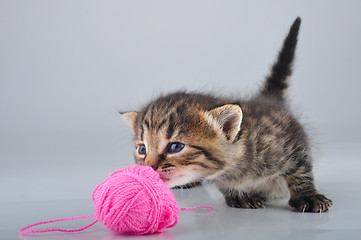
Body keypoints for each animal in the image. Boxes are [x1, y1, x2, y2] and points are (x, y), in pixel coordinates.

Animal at [120, 17, 332, 213]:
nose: (148, 167)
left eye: (176, 147)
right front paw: (240, 195)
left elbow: (301, 170)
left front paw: (307, 196)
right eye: (142, 149)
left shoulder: (292, 140)